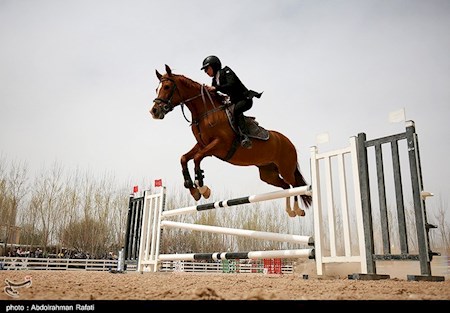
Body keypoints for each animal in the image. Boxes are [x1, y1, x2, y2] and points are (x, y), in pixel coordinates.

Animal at [149, 65, 312, 217]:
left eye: (167, 87)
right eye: (157, 88)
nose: (154, 111)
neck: (205, 112)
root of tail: (289, 143)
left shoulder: (219, 145)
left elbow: (197, 158)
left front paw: (203, 188)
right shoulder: (202, 145)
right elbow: (184, 158)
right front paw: (193, 189)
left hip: (286, 168)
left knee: (294, 185)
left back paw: (297, 210)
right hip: (268, 174)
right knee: (286, 186)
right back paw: (290, 211)